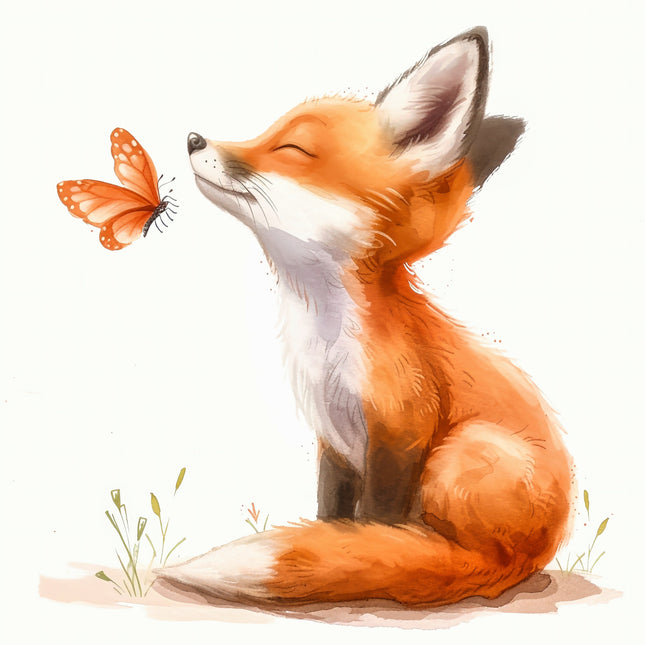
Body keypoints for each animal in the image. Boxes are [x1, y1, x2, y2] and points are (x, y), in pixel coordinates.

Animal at [156, 27, 573, 607]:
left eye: (291, 148)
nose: (195, 139)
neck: (325, 339)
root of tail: (531, 553)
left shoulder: (401, 432)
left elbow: (376, 524)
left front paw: (365, 563)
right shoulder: (333, 443)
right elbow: (333, 517)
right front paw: (335, 550)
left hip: (461, 454)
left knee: (458, 553)